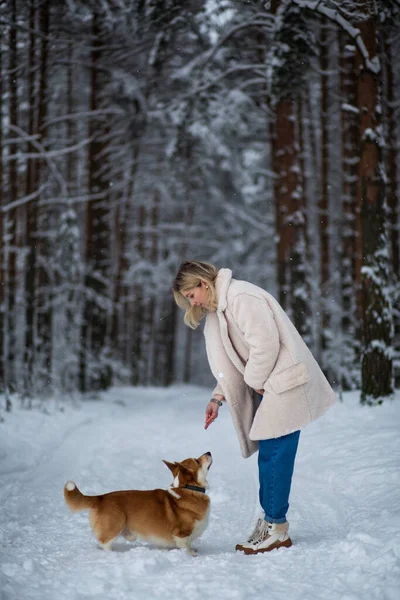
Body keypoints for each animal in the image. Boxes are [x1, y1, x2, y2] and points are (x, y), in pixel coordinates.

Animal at [64, 452, 212, 556]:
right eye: (197, 461)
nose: (209, 452)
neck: (188, 488)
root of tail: (100, 498)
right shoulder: (182, 533)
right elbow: (185, 546)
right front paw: (190, 554)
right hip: (114, 525)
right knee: (104, 542)